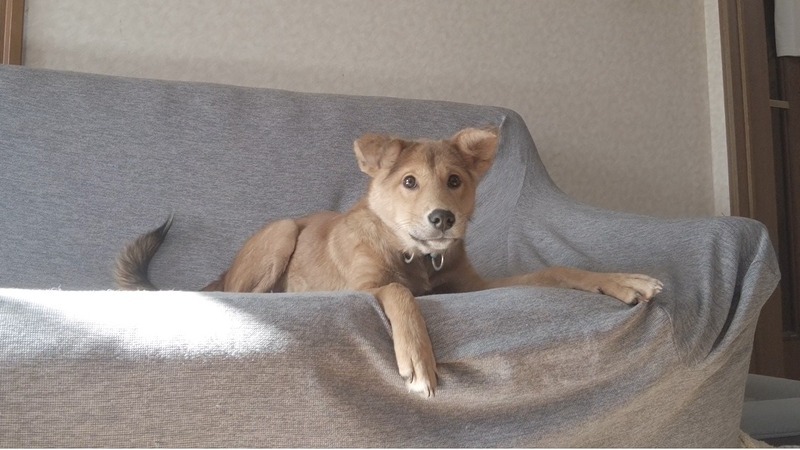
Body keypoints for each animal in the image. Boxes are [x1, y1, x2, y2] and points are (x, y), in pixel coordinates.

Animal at [115, 126, 663, 397]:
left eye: (455, 181)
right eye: (409, 182)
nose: (442, 218)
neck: (418, 257)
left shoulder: (473, 287)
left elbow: (555, 269)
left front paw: (624, 280)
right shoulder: (366, 285)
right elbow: (399, 292)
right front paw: (418, 357)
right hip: (282, 231)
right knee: (244, 293)